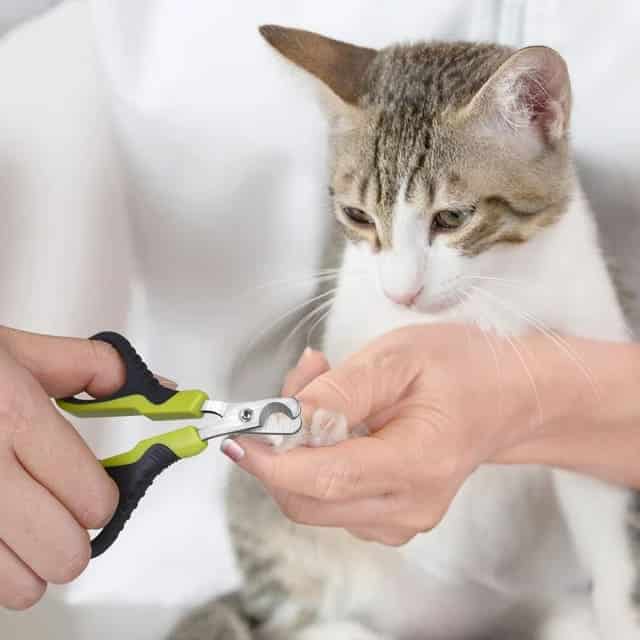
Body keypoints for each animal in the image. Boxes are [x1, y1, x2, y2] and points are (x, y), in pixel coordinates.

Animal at [170, 26, 640, 640]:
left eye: (452, 218)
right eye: (357, 215)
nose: (401, 293)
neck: (481, 303)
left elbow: (607, 528)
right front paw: (324, 425)